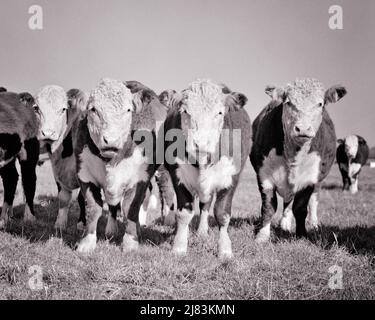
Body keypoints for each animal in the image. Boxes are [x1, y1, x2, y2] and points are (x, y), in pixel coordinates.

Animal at [33, 85, 88, 230]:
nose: (48, 133)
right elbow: (63, 198)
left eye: (63, 109)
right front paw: (60, 224)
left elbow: (82, 198)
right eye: (37, 108)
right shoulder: (57, 171)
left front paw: (82, 223)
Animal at [75, 77, 160, 252]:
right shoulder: (85, 175)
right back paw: (111, 229)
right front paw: (87, 242)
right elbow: (93, 208)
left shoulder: (140, 178)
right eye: (93, 109)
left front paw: (130, 242)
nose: (111, 140)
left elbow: (131, 208)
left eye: (128, 110)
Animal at [162, 79, 253, 258]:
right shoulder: (178, 176)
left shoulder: (231, 177)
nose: (202, 144)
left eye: (220, 113)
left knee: (206, 205)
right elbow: (184, 213)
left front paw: (225, 249)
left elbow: (222, 214)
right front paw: (179, 246)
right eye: (185, 111)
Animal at [251, 79, 348, 241]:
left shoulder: (309, 179)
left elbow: (301, 208)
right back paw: (284, 224)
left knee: (313, 201)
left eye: (320, 104)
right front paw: (262, 235)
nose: (302, 129)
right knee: (287, 203)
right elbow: (269, 207)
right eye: (288, 102)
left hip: (318, 181)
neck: (293, 154)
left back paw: (313, 224)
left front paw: (302, 235)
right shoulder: (264, 175)